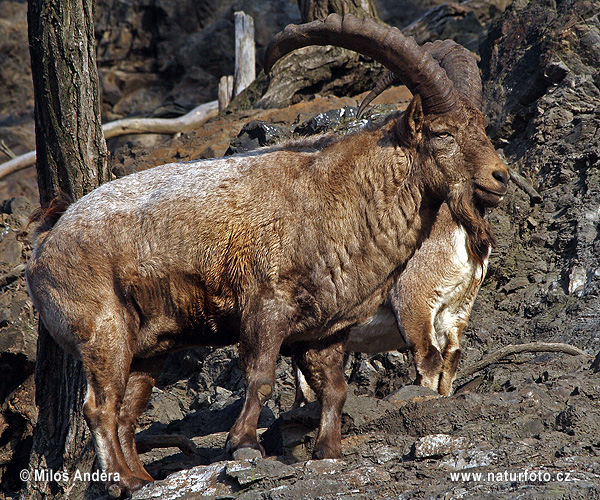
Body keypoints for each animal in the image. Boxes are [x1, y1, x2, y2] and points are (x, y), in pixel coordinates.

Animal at [27, 14, 506, 496]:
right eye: (443, 134)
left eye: (483, 127)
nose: (499, 177)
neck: (333, 196)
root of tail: (45, 243)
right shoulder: (266, 306)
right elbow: (259, 377)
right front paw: (243, 446)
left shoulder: (327, 329)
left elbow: (334, 389)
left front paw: (328, 451)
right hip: (105, 330)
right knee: (100, 407)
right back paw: (121, 478)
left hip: (149, 347)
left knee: (127, 412)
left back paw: (141, 477)